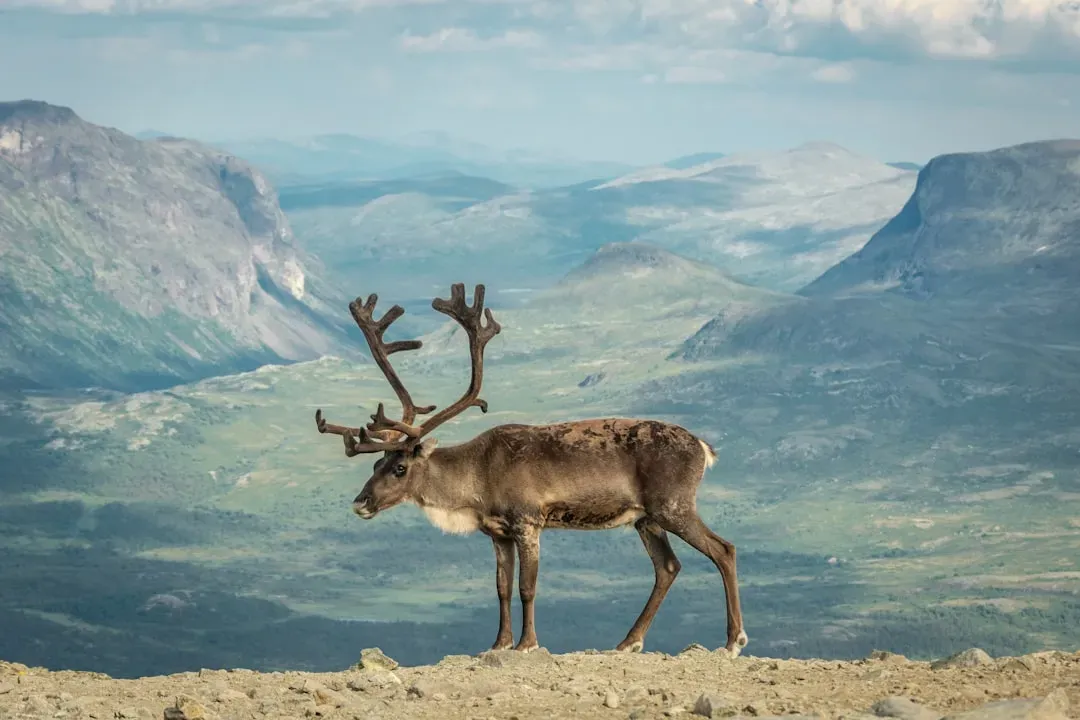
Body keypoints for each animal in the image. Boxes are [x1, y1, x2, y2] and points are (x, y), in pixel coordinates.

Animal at [314, 283, 748, 656]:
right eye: (376, 462)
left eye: (400, 467)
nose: (360, 502)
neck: (477, 477)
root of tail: (703, 447)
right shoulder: (497, 533)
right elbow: (502, 588)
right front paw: (498, 643)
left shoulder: (528, 522)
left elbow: (527, 587)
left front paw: (527, 643)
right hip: (645, 519)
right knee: (668, 567)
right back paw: (629, 641)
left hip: (672, 505)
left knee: (723, 549)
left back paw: (732, 641)